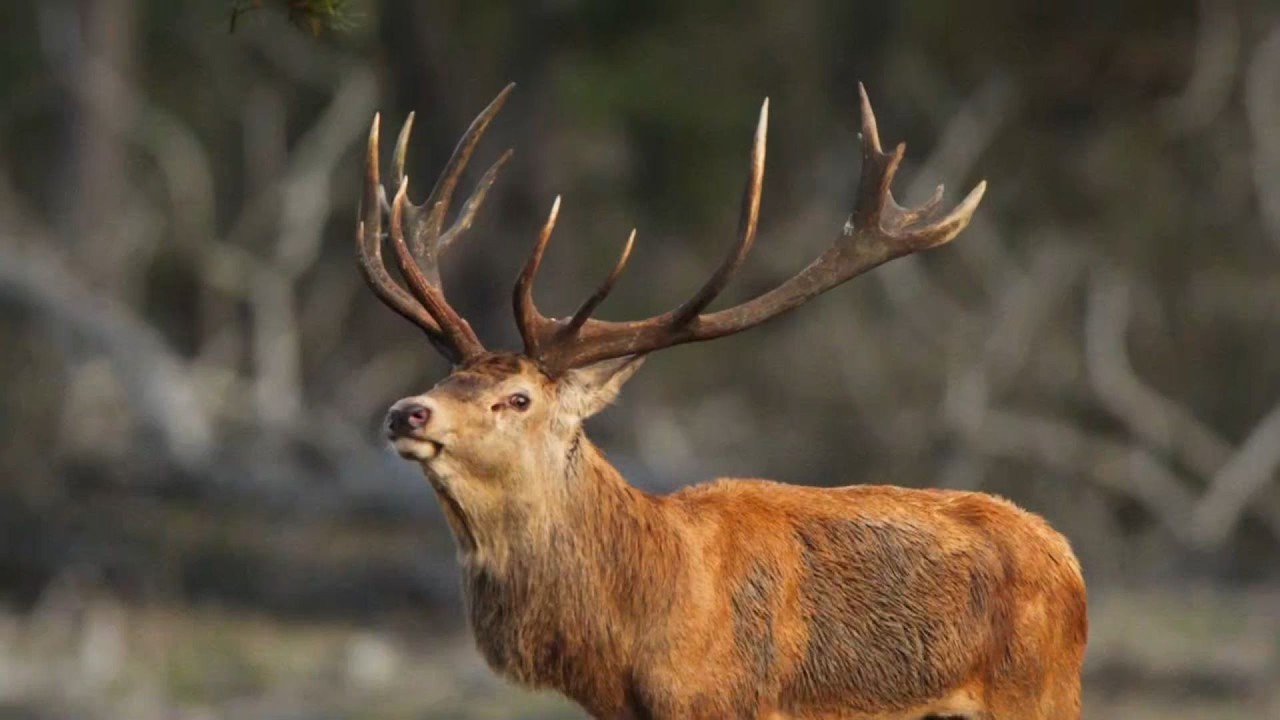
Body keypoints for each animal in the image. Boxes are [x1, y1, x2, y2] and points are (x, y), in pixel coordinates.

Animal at [356, 83, 1087, 720]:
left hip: (1038, 693)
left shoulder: (726, 705)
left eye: (518, 398)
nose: (406, 412)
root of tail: (1069, 560)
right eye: (448, 378)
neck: (629, 650)